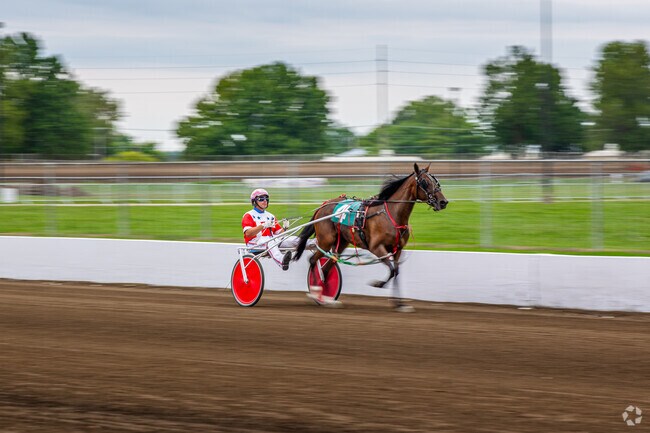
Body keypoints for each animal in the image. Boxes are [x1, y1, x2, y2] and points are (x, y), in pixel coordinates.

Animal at [294, 163, 448, 311]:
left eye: (436, 181)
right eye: (424, 182)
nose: (443, 202)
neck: (391, 214)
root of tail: (323, 205)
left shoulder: (397, 249)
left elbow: (396, 272)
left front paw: (400, 304)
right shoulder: (376, 247)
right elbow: (392, 270)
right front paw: (378, 284)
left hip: (341, 243)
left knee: (327, 267)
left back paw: (326, 298)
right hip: (326, 240)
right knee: (312, 260)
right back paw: (315, 292)